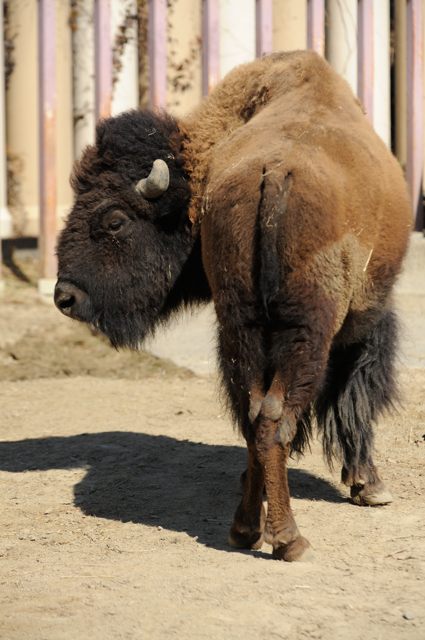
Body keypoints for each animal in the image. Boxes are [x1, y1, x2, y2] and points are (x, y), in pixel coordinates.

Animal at [54, 51, 410, 560]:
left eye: (115, 220)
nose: (65, 296)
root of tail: (275, 173)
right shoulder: (367, 326)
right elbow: (355, 399)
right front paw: (371, 487)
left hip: (239, 327)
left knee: (253, 414)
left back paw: (245, 529)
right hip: (304, 334)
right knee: (275, 418)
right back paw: (289, 540)